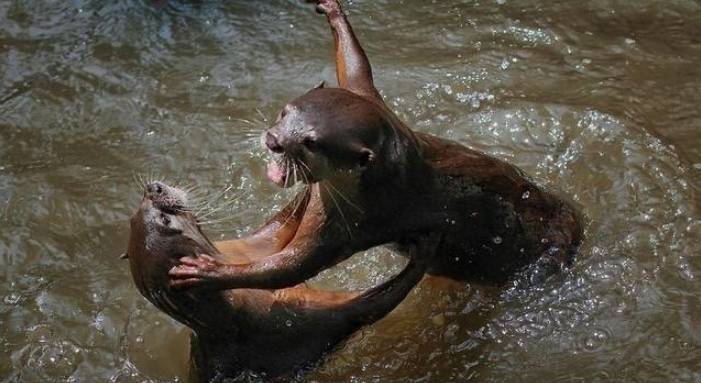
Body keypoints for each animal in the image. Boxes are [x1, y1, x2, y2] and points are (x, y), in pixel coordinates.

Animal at [129, 182, 430, 382]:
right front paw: (421, 259)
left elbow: (282, 224)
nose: (153, 187)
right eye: (165, 219)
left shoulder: (252, 249)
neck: (234, 302)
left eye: (132, 217)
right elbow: (367, 306)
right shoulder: (290, 323)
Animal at [167, 0, 584, 292]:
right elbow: (355, 66)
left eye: (311, 143)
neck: (381, 175)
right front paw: (333, 11)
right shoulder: (370, 100)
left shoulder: (354, 222)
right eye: (285, 111)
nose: (274, 141)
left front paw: (212, 273)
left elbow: (293, 266)